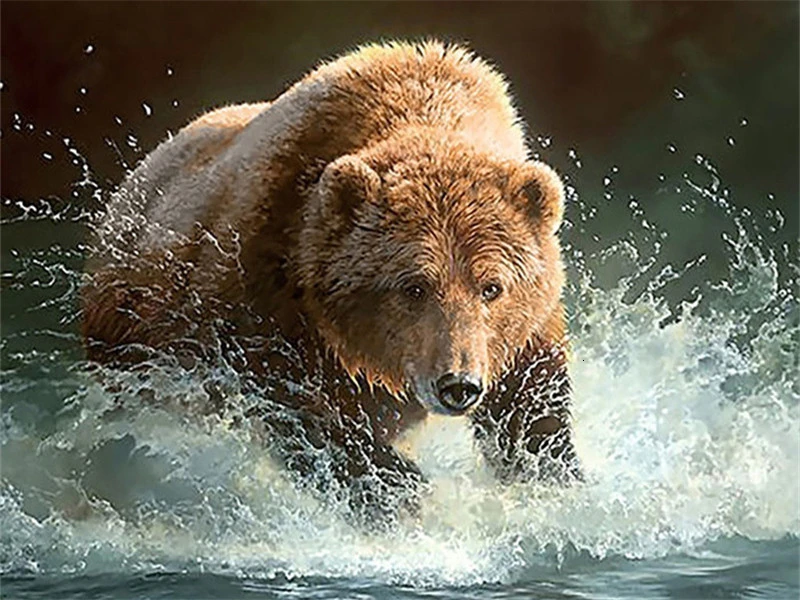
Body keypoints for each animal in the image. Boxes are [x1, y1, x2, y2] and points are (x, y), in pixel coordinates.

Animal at [82, 40, 580, 524]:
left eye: (492, 287)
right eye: (414, 286)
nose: (458, 384)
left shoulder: (523, 332)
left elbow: (531, 406)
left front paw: (553, 476)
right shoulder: (266, 285)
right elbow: (291, 400)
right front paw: (394, 486)